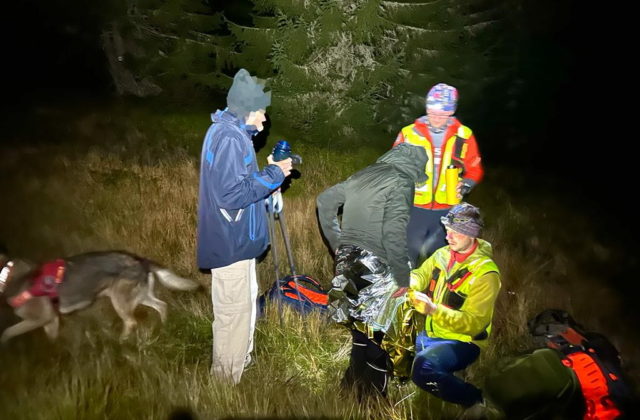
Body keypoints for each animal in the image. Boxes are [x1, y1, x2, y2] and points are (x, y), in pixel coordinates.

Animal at [0, 249, 199, 342]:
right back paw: (164, 327)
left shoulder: (40, 318)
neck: (6, 274)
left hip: (120, 300)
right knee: (162, 306)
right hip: (140, 296)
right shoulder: (51, 320)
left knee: (131, 322)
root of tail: (141, 260)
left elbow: (6, 332)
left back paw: (121, 342)